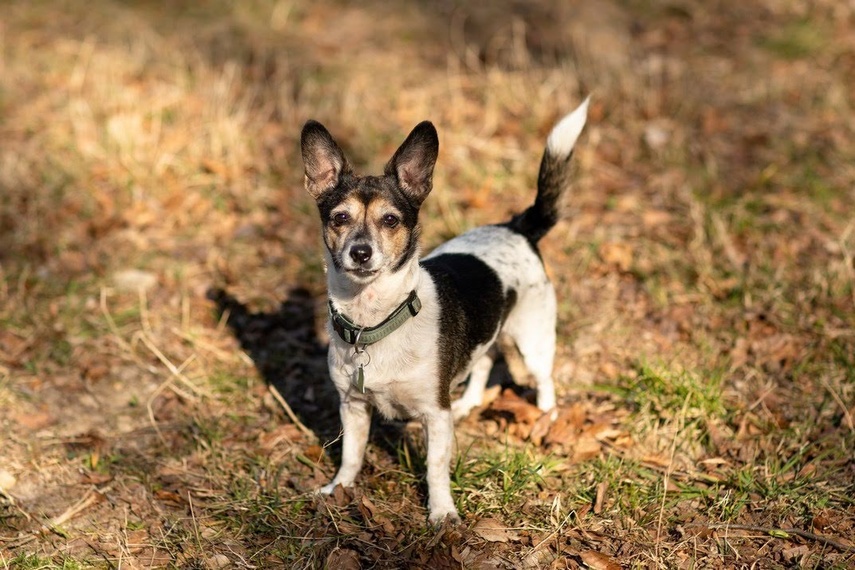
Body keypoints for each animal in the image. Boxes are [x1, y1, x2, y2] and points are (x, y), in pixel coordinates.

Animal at [300, 97, 588, 524]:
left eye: (390, 220)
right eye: (340, 218)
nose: (360, 252)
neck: (377, 320)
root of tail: (517, 227)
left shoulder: (434, 415)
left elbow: (435, 468)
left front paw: (441, 513)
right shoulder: (353, 407)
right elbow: (352, 454)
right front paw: (340, 488)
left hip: (533, 341)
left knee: (544, 381)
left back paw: (545, 417)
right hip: (490, 332)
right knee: (484, 361)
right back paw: (468, 403)